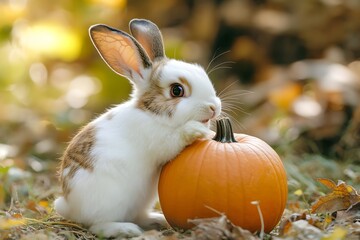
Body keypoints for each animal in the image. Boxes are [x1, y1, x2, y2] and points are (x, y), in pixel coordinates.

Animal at [53, 19, 222, 238]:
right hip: (109, 201)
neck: (151, 114)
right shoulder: (158, 139)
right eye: (177, 90)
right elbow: (175, 138)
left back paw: (157, 220)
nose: (214, 107)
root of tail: (69, 205)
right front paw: (199, 131)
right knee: (97, 225)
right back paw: (126, 229)